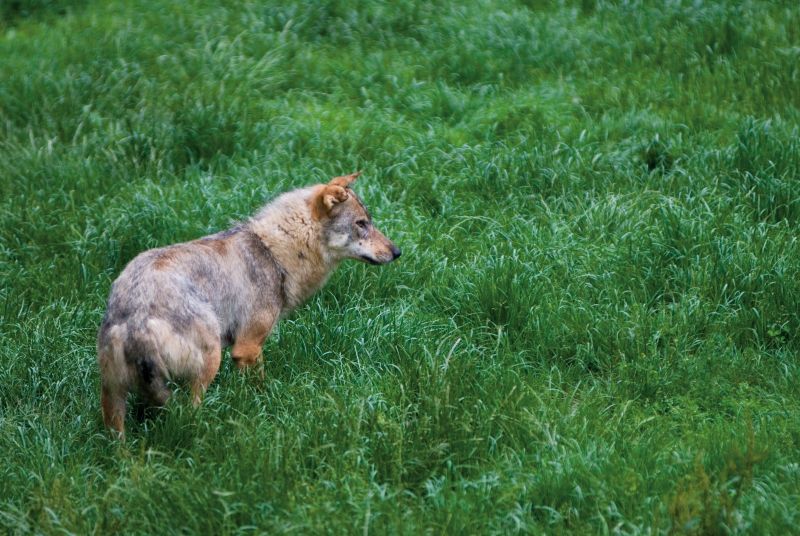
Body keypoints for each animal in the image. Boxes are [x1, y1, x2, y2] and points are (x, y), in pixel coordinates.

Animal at [97, 172, 400, 438]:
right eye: (361, 223)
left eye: (368, 221)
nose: (397, 252)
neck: (274, 252)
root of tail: (136, 319)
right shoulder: (248, 349)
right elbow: (261, 388)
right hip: (209, 363)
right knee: (190, 413)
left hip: (113, 398)